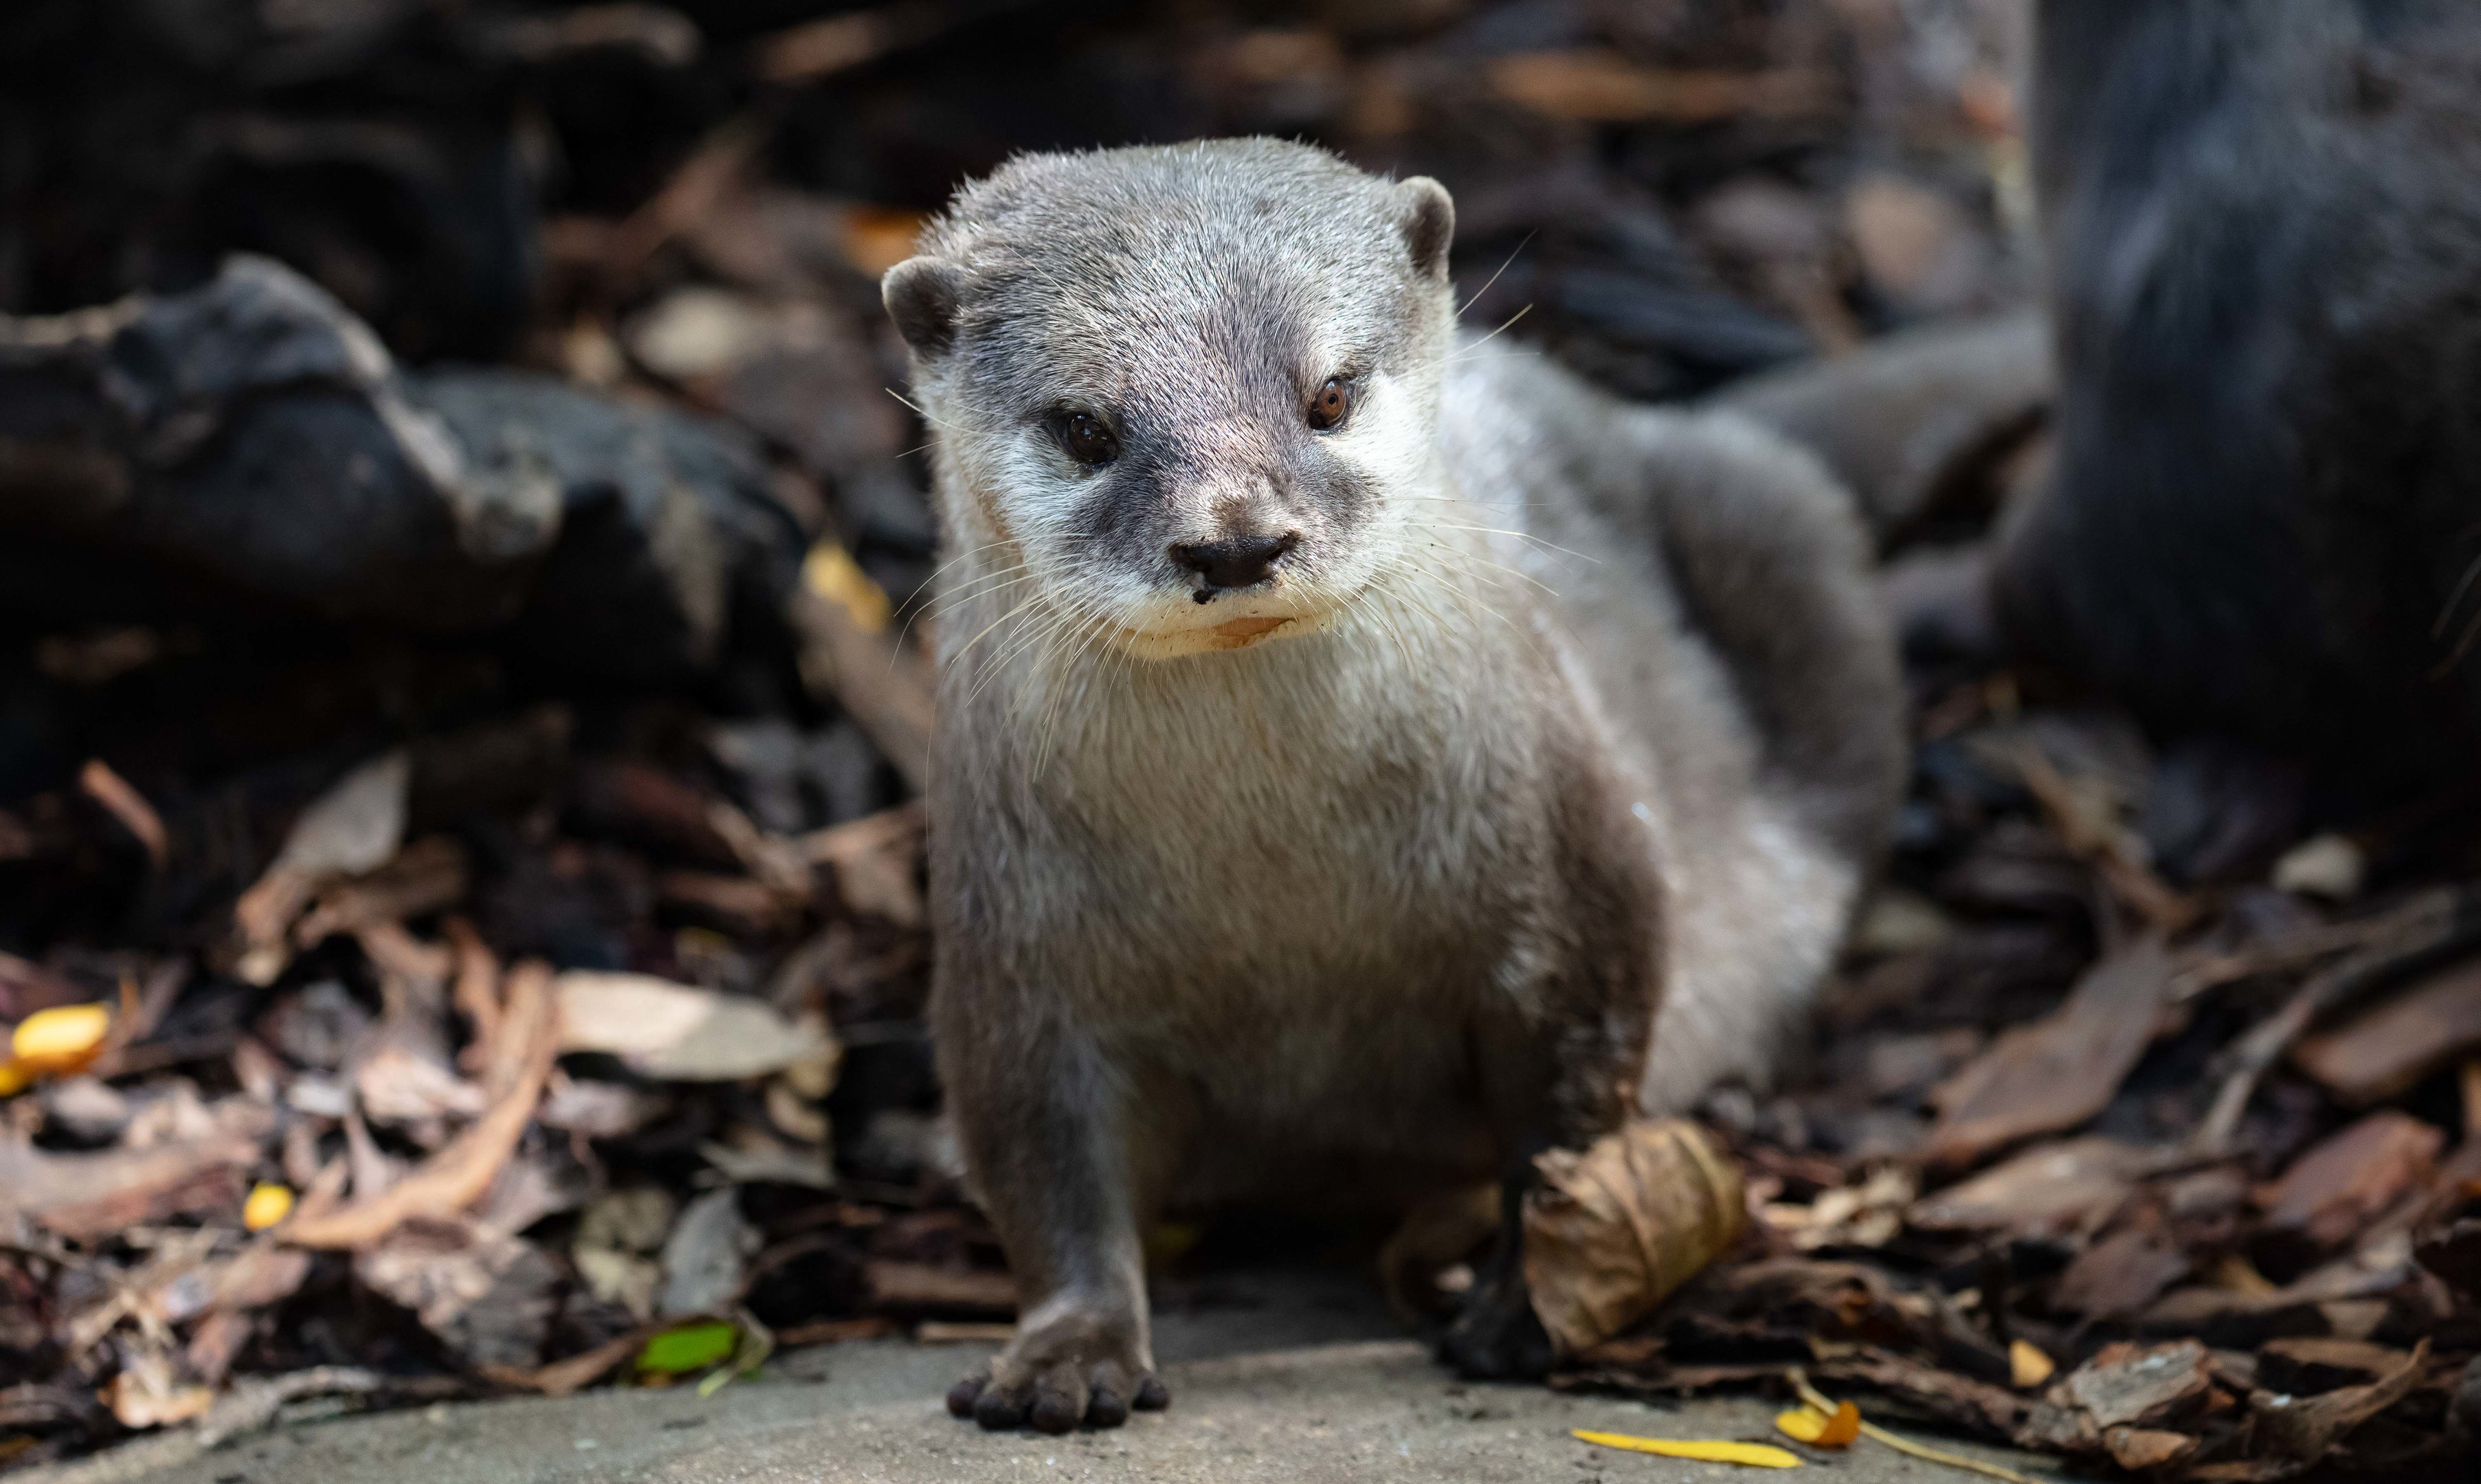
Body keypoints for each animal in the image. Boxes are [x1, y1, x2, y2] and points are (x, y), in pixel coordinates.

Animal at [881, 139, 1903, 1434]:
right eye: (1083, 426)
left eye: (1328, 395)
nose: (1234, 539)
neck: (1278, 895)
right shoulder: (1012, 956)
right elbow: (1042, 1161)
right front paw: (1064, 1355)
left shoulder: (1572, 879)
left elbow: (1569, 1111)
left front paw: (1527, 1304)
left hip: (1784, 531)